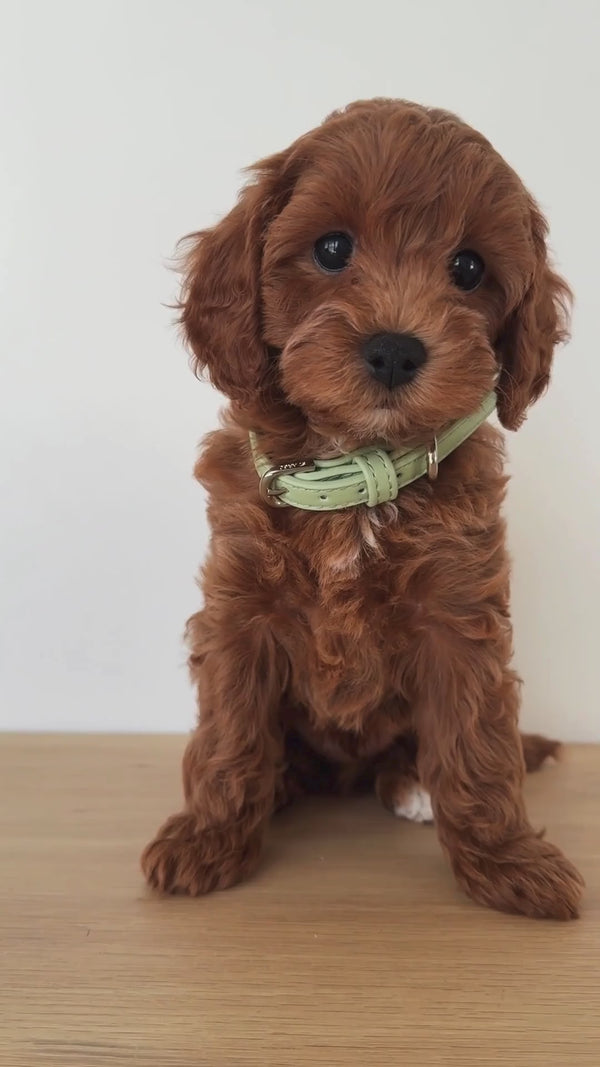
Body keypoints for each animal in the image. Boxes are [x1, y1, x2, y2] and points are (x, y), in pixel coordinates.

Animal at [139, 98, 580, 917]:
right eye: (333, 248)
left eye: (468, 268)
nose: (395, 350)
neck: (357, 465)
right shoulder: (239, 609)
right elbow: (229, 733)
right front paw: (208, 837)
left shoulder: (458, 616)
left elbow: (478, 746)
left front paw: (508, 861)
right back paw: (282, 786)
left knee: (416, 753)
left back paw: (411, 784)